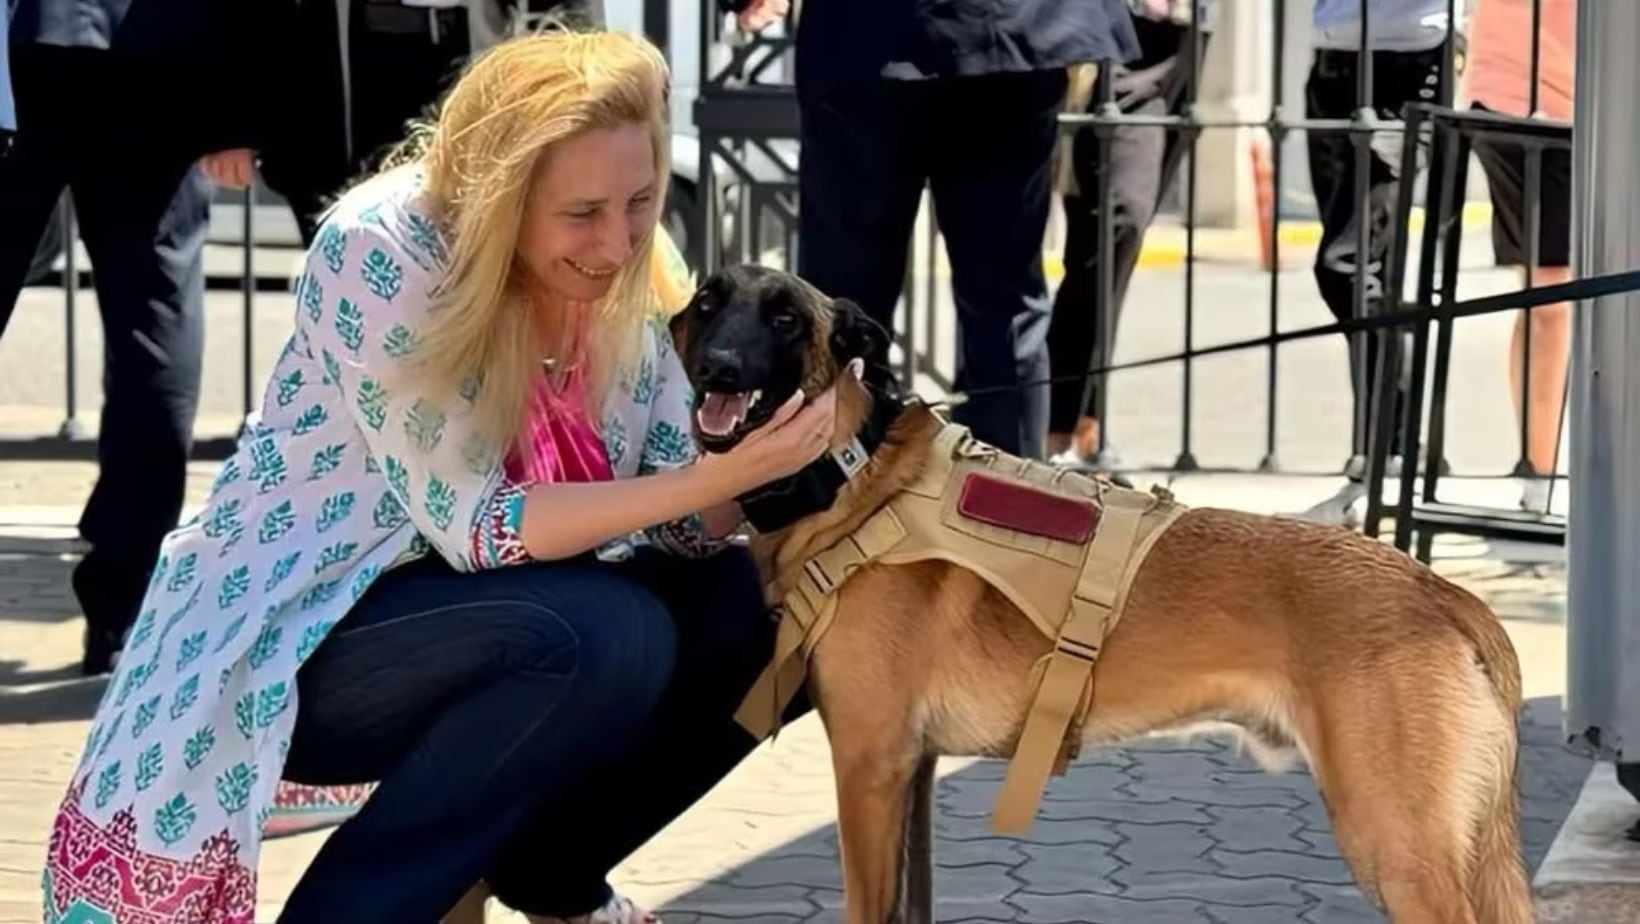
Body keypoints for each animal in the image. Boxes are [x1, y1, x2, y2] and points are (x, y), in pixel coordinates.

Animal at [669, 264, 1535, 924]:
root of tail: (1441, 593)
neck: (850, 477)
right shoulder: (908, 775)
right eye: (709, 301)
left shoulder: (867, 767)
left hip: (1399, 848)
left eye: (785, 318)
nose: (718, 367)